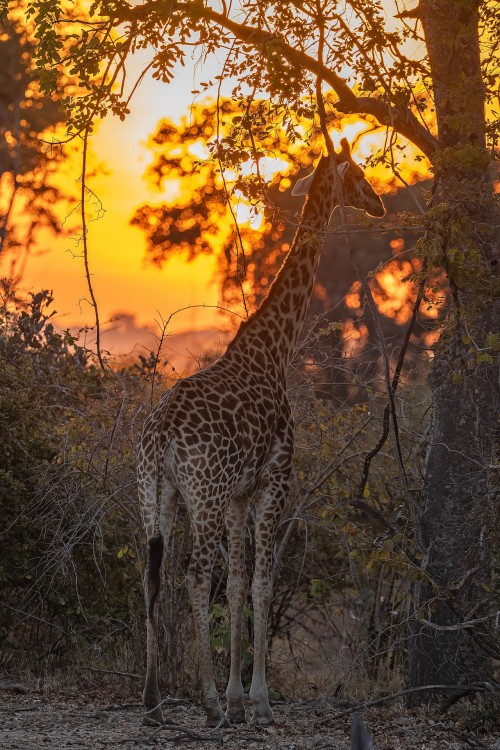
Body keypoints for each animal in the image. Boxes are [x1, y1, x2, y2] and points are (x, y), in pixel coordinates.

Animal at [136, 135, 382, 728]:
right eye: (359, 175)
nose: (381, 205)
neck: (275, 348)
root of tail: (161, 436)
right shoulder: (274, 480)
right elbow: (263, 581)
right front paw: (258, 703)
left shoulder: (237, 495)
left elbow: (241, 583)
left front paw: (238, 697)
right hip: (199, 494)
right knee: (195, 574)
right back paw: (203, 703)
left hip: (156, 493)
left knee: (153, 572)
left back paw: (153, 700)